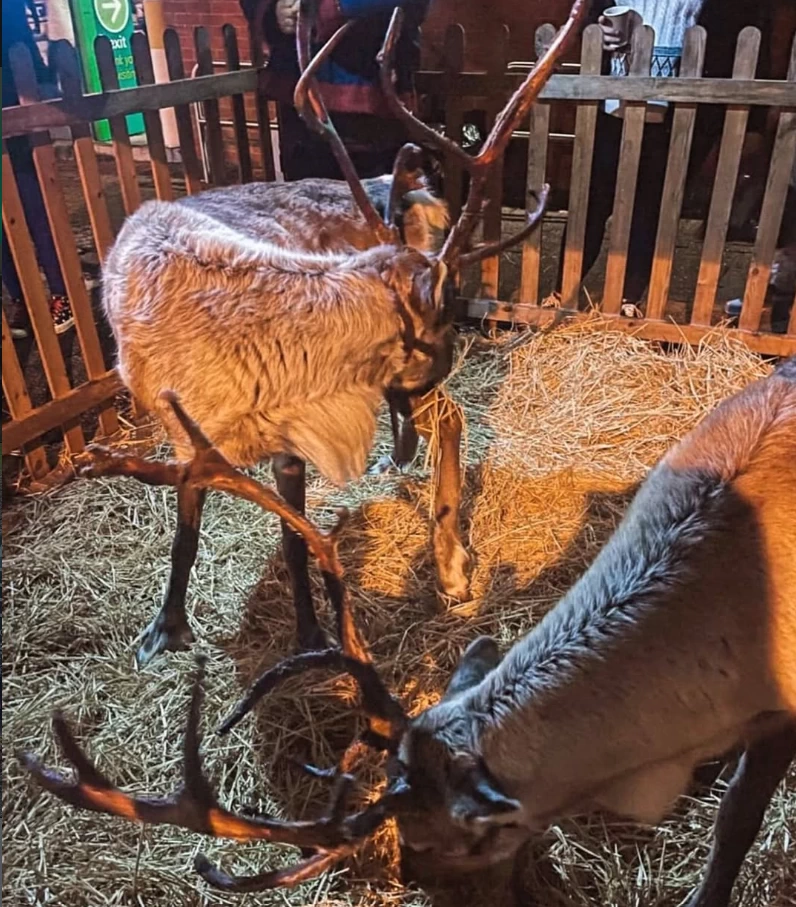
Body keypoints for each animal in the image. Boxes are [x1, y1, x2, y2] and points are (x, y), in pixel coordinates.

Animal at [98, 0, 576, 664]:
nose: (444, 358)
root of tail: (414, 194)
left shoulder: (291, 438)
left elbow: (296, 538)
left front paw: (308, 638)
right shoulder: (188, 437)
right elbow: (185, 531)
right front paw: (165, 627)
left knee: (452, 418)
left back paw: (451, 564)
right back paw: (397, 461)